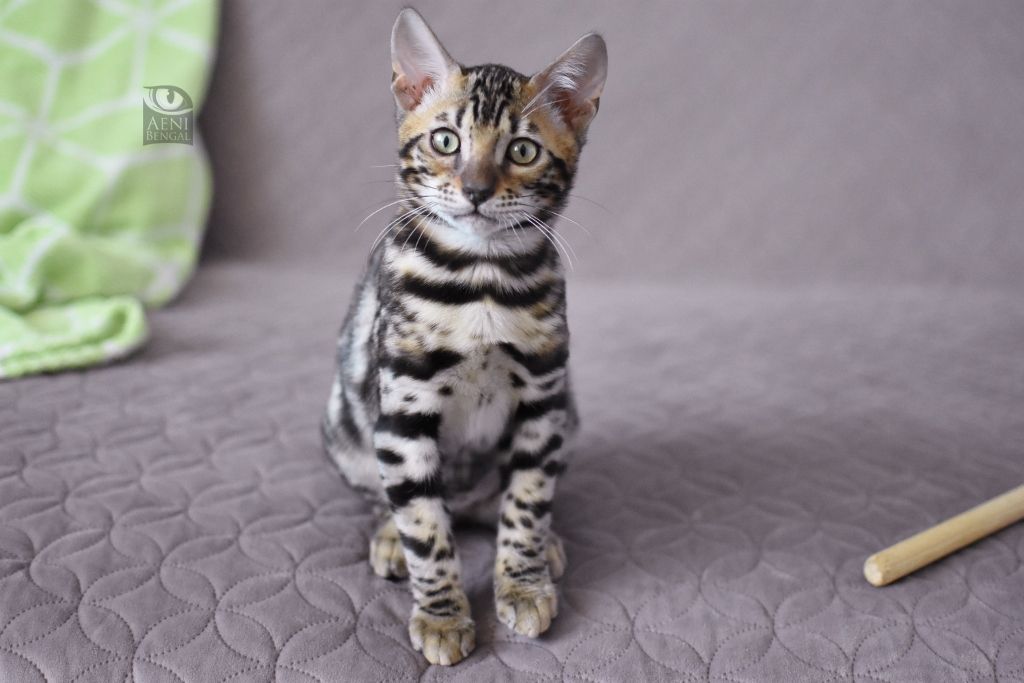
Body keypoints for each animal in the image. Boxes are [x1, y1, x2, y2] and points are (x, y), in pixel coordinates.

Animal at [322, 8, 606, 666]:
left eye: (523, 150)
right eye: (445, 141)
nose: (476, 190)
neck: (481, 279)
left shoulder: (542, 400)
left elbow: (527, 501)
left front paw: (522, 581)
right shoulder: (404, 412)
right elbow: (426, 529)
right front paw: (443, 616)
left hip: (568, 417)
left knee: (505, 501)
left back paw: (544, 543)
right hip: (347, 427)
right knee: (392, 498)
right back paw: (390, 538)